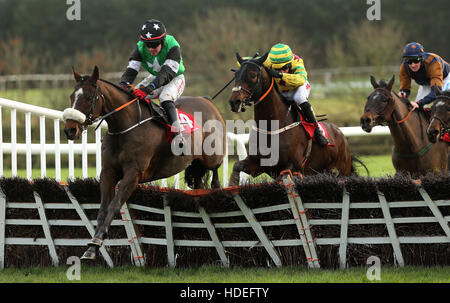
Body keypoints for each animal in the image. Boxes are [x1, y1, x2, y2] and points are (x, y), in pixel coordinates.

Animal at [62, 66, 225, 262]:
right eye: (72, 96)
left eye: (87, 97)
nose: (70, 130)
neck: (125, 127)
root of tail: (208, 101)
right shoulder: (108, 172)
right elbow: (102, 208)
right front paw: (92, 247)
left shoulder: (133, 174)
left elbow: (115, 205)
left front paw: (97, 241)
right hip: (195, 163)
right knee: (199, 183)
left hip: (212, 157)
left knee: (215, 175)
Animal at [227, 53, 356, 185]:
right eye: (235, 75)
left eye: (252, 75)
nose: (234, 102)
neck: (271, 126)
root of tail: (340, 133)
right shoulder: (258, 164)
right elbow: (237, 166)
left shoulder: (293, 167)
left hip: (342, 170)